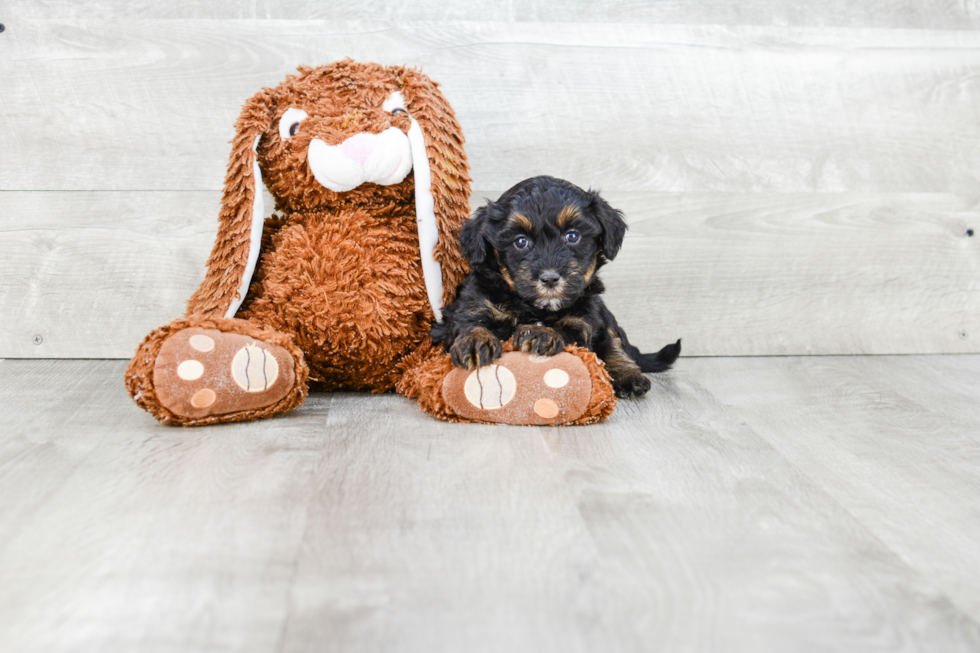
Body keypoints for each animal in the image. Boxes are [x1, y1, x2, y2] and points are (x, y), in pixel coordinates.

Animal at [432, 174, 676, 398]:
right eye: (520, 242)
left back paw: (629, 376)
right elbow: (469, 321)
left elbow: (569, 331)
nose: (549, 278)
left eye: (573, 236)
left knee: (614, 343)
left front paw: (542, 333)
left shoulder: (583, 320)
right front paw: (475, 342)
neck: (534, 307)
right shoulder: (473, 302)